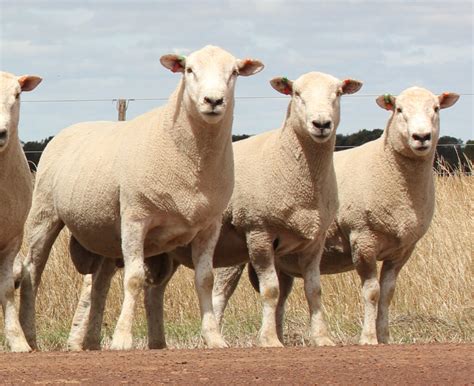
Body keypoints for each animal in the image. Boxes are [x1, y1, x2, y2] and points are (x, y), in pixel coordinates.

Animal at [213, 86, 462, 344]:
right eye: (399, 109)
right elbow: (372, 292)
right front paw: (368, 338)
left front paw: (384, 338)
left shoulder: (403, 250)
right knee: (220, 293)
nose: (421, 137)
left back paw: (278, 337)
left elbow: (387, 294)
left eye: (436, 109)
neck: (389, 169)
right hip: (234, 244)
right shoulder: (363, 237)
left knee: (280, 296)